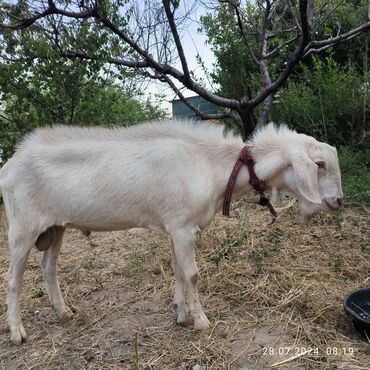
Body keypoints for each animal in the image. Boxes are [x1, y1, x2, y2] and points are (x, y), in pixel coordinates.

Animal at [0, 121, 344, 344]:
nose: (339, 201)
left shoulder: (177, 228)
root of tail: (9, 166)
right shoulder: (181, 227)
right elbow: (192, 273)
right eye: (319, 165)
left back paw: (64, 312)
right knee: (13, 278)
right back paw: (17, 333)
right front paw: (201, 321)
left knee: (48, 267)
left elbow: (178, 270)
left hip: (55, 227)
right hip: (22, 228)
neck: (210, 167)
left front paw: (182, 315)